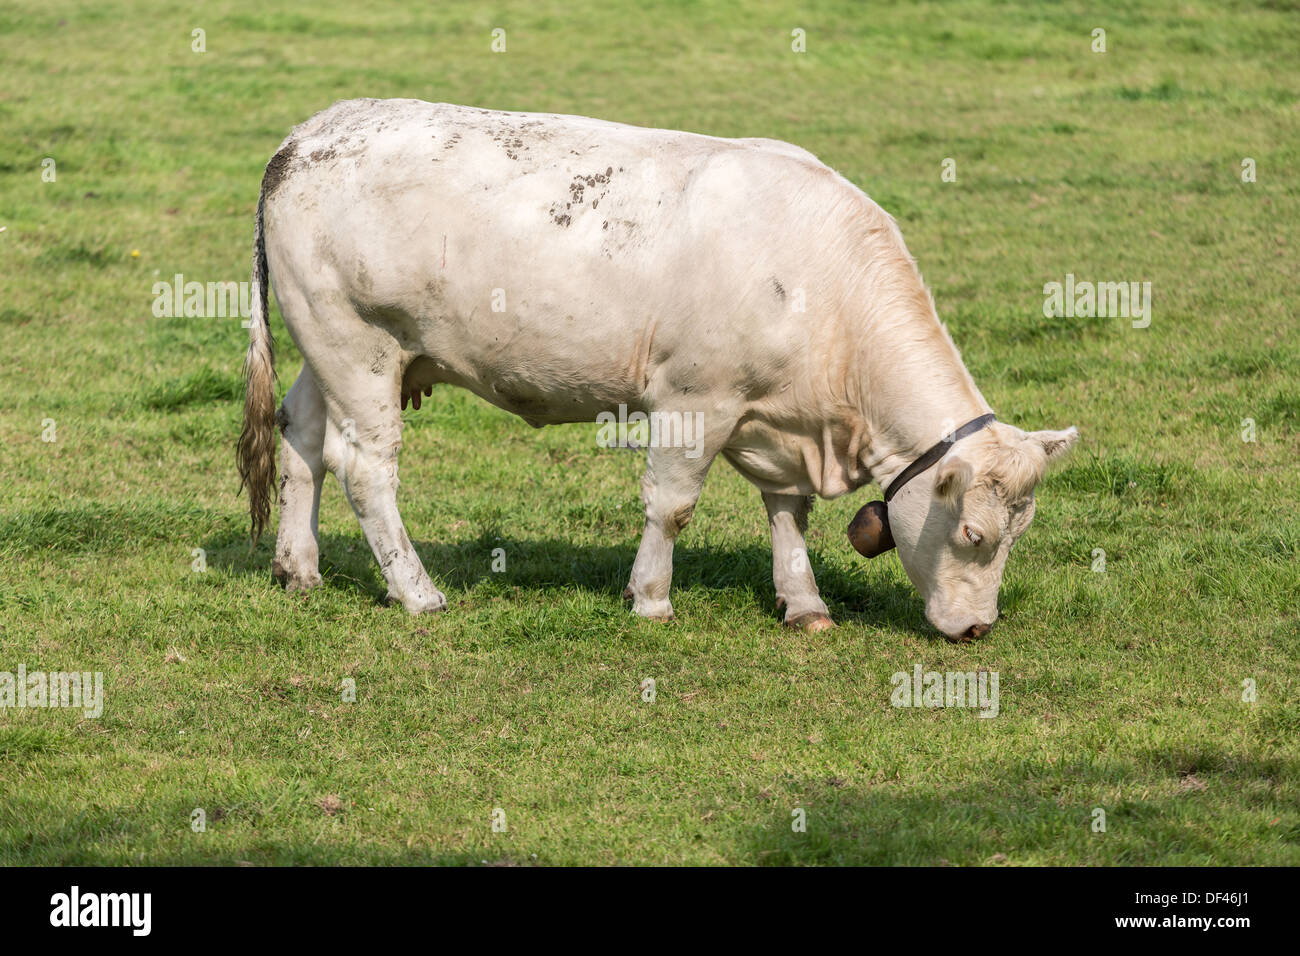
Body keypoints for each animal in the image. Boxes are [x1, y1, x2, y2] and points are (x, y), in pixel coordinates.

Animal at [241, 98, 1076, 642]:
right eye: (972, 533)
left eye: (1020, 534)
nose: (978, 629)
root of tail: (308, 132)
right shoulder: (694, 401)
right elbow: (671, 506)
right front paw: (649, 599)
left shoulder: (779, 417)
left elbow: (787, 510)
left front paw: (804, 603)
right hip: (359, 345)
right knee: (365, 467)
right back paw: (416, 592)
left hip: (327, 350)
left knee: (302, 438)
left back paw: (297, 567)